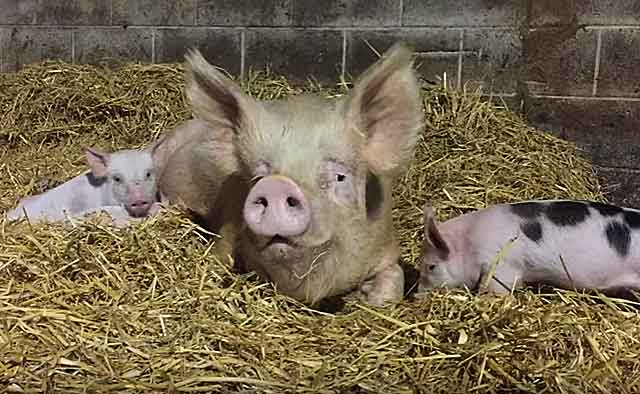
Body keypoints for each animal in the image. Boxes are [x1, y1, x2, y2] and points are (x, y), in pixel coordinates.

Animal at [157, 43, 422, 308]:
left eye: (340, 177)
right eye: (257, 178)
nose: (276, 185)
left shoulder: (385, 243)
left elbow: (395, 277)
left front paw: (369, 298)